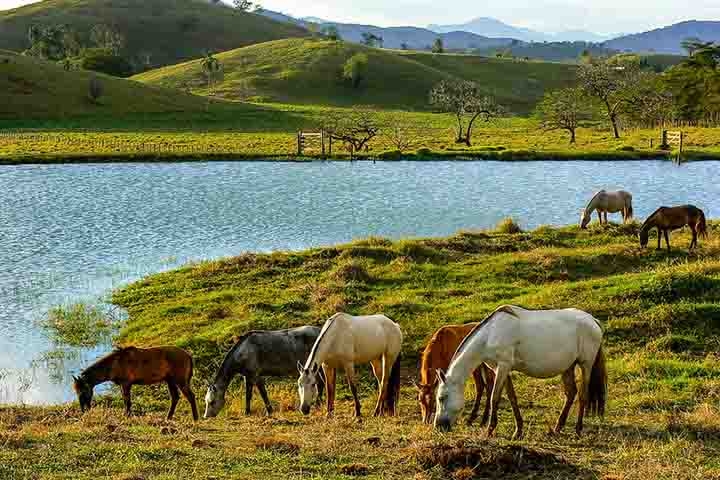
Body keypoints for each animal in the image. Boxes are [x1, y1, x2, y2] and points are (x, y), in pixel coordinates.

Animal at [434, 306, 608, 440]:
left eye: (442, 398)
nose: (438, 426)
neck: (490, 334)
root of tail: (593, 320)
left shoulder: (503, 366)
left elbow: (494, 397)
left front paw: (489, 430)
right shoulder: (502, 369)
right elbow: (512, 398)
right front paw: (518, 431)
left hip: (585, 364)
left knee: (583, 395)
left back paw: (578, 430)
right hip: (568, 367)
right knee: (571, 393)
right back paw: (557, 428)